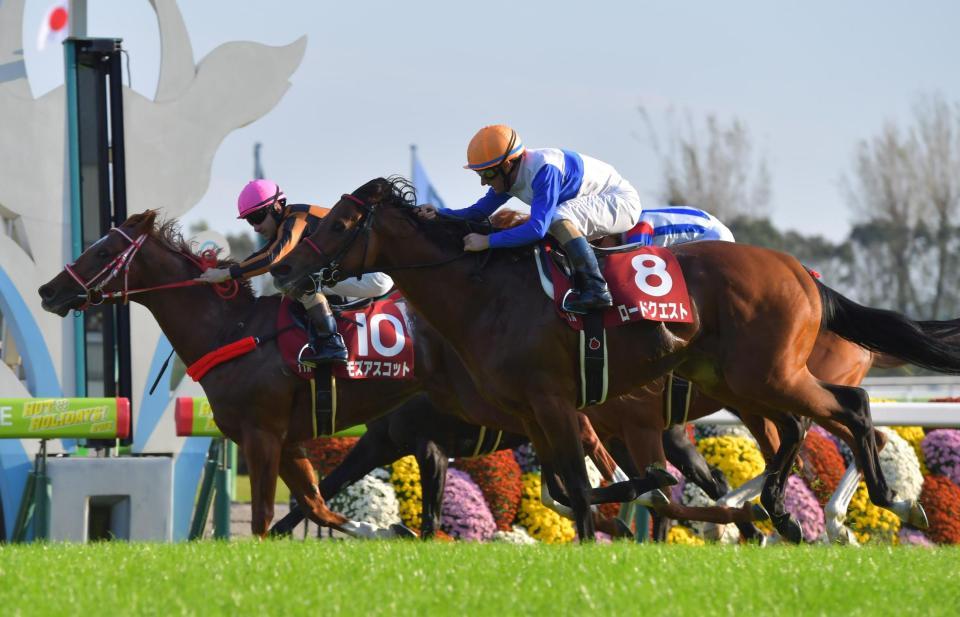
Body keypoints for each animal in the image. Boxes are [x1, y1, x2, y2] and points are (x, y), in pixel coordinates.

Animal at [269, 176, 960, 541]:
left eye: (336, 226)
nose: (286, 274)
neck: (484, 293)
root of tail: (804, 276)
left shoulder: (561, 404)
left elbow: (578, 487)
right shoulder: (538, 412)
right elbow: (566, 486)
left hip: (770, 373)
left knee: (853, 409)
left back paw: (881, 502)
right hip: (742, 380)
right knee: (795, 430)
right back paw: (777, 513)